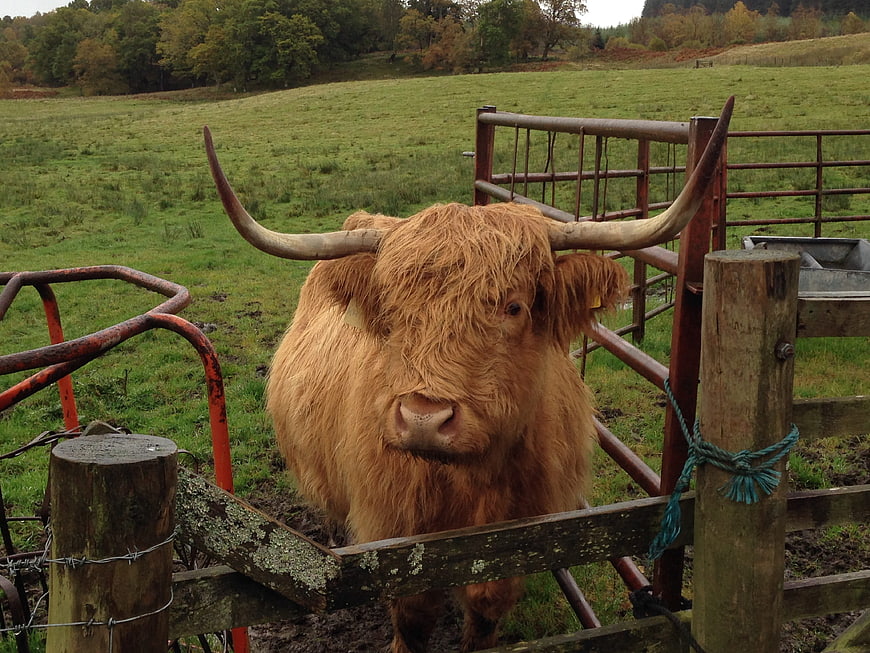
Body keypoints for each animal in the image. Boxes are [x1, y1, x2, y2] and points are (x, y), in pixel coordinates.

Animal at [204, 97, 733, 653]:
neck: (471, 484)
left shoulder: (521, 537)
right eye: (392, 311)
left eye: (514, 306)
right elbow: (414, 614)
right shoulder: (395, 531)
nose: (423, 419)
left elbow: (485, 608)